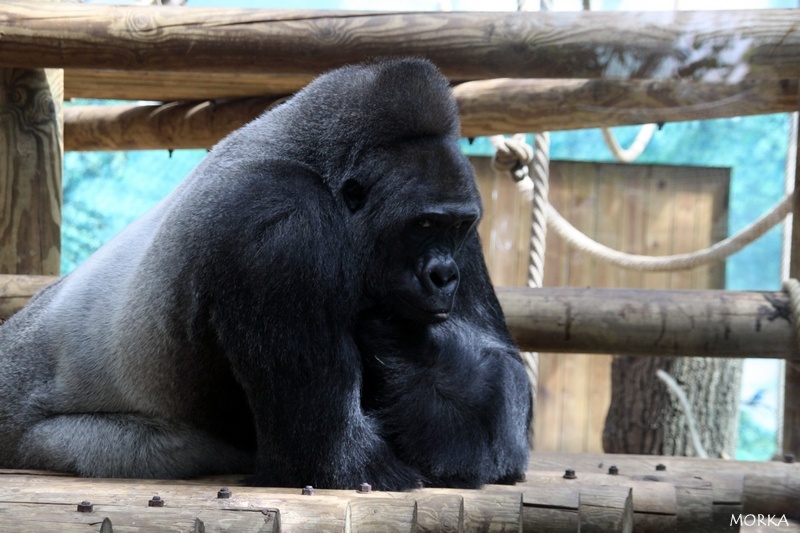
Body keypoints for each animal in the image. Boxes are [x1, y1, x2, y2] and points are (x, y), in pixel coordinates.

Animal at [0, 58, 532, 490]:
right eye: (421, 226)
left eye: (455, 226)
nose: (444, 276)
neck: (324, 173)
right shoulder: (282, 226)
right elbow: (337, 461)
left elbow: (502, 371)